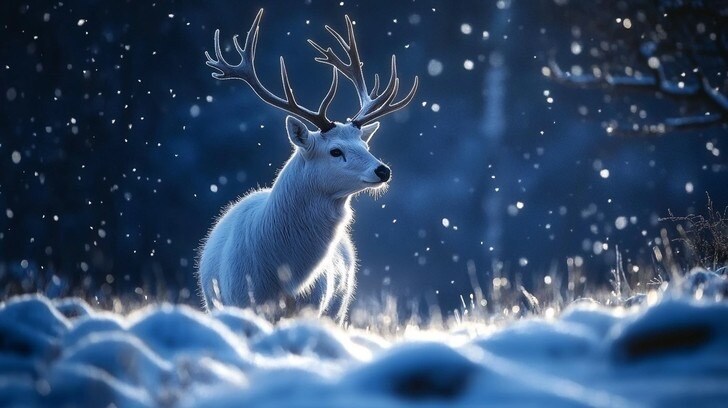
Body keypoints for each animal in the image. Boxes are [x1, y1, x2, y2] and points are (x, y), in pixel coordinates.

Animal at [197, 9, 418, 323]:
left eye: (366, 147)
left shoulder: (315, 305)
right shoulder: (240, 299)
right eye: (335, 151)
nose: (383, 170)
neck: (284, 279)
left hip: (338, 307)